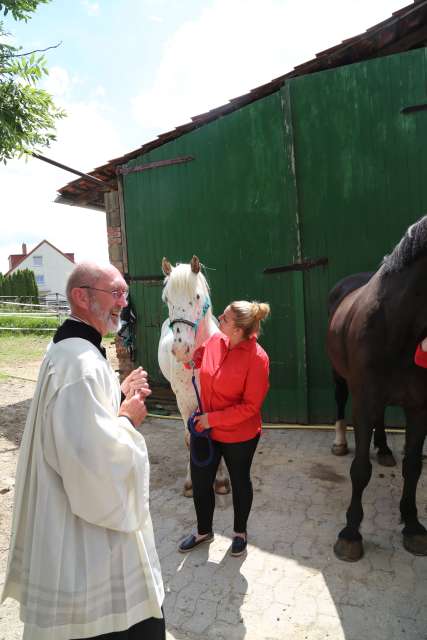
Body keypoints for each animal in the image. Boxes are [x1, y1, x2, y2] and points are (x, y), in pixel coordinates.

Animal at [158, 255, 231, 500]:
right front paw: (191, 483)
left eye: (197, 296)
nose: (181, 349)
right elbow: (190, 439)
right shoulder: (184, 402)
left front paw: (220, 481)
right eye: (166, 299)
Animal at [330, 218, 427, 564]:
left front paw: (412, 525)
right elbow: (360, 469)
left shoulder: (419, 406)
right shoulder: (363, 400)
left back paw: (384, 449)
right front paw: (350, 533)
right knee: (340, 402)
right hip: (341, 378)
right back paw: (340, 443)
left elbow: (413, 466)